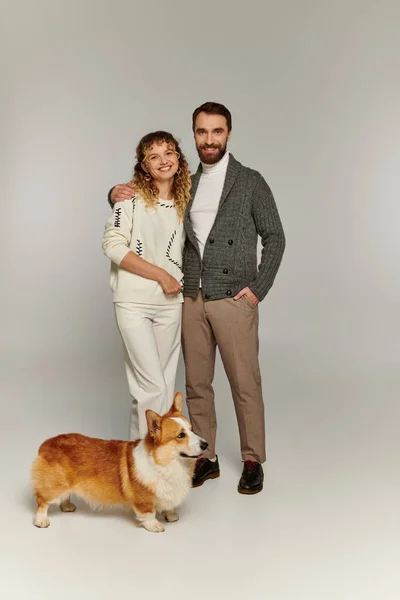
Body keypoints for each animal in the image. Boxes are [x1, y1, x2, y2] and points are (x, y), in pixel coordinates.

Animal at [29, 394, 208, 536]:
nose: (206, 444)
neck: (166, 462)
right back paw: (41, 520)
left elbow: (168, 506)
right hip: (54, 486)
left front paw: (171, 515)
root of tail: (45, 444)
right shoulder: (144, 500)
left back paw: (67, 506)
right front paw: (155, 525)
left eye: (192, 429)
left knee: (65, 495)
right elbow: (149, 513)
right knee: (42, 501)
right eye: (180, 435)